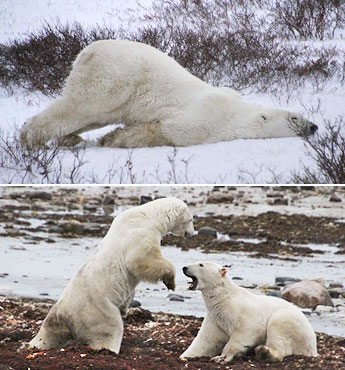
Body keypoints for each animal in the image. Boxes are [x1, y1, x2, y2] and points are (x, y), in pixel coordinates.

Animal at [19, 38, 318, 147]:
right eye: (294, 118)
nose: (314, 126)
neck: (235, 113)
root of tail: (87, 51)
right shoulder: (204, 117)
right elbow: (168, 130)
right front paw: (113, 140)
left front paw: (110, 138)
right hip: (113, 77)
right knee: (80, 106)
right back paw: (30, 140)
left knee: (91, 115)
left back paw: (69, 138)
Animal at [27, 198, 194, 354]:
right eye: (191, 220)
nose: (192, 234)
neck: (149, 215)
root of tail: (64, 315)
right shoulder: (140, 233)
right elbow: (141, 260)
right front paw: (170, 281)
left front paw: (126, 306)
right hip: (97, 311)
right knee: (110, 329)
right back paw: (110, 350)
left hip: (55, 318)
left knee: (49, 333)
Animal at [180, 262, 318, 362]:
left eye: (201, 264)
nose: (184, 268)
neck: (225, 298)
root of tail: (313, 347)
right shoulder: (216, 319)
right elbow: (207, 339)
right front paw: (185, 356)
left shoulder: (243, 310)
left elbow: (248, 330)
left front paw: (224, 356)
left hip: (291, 323)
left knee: (279, 331)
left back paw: (264, 352)